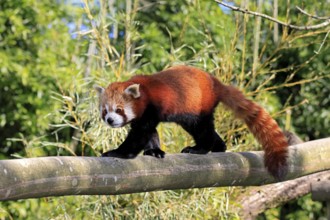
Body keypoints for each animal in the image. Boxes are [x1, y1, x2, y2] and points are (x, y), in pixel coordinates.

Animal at [95, 65, 288, 180]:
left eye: (119, 109)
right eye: (105, 111)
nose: (110, 120)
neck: (144, 93)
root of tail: (216, 83)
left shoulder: (151, 108)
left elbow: (139, 134)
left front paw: (117, 152)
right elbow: (150, 133)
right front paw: (154, 151)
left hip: (199, 106)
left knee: (203, 130)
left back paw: (200, 148)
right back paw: (220, 147)